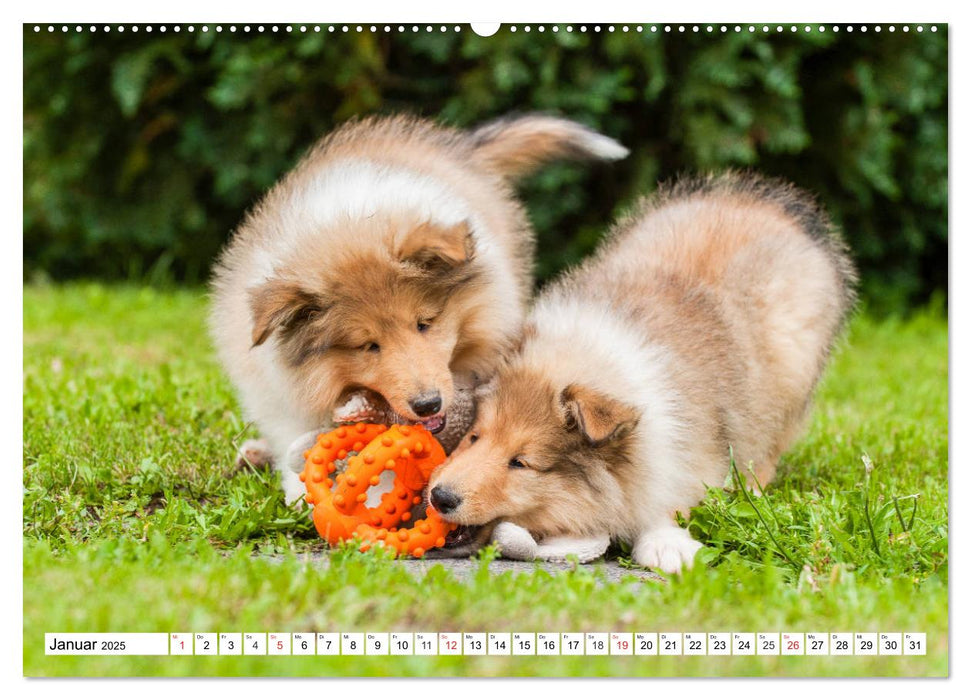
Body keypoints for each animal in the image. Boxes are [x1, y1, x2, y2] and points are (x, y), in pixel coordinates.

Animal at [430, 175, 856, 576]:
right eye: (474, 437)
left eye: (521, 463)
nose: (439, 496)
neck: (586, 357)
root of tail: (769, 203)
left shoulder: (688, 450)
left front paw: (668, 545)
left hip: (789, 378)